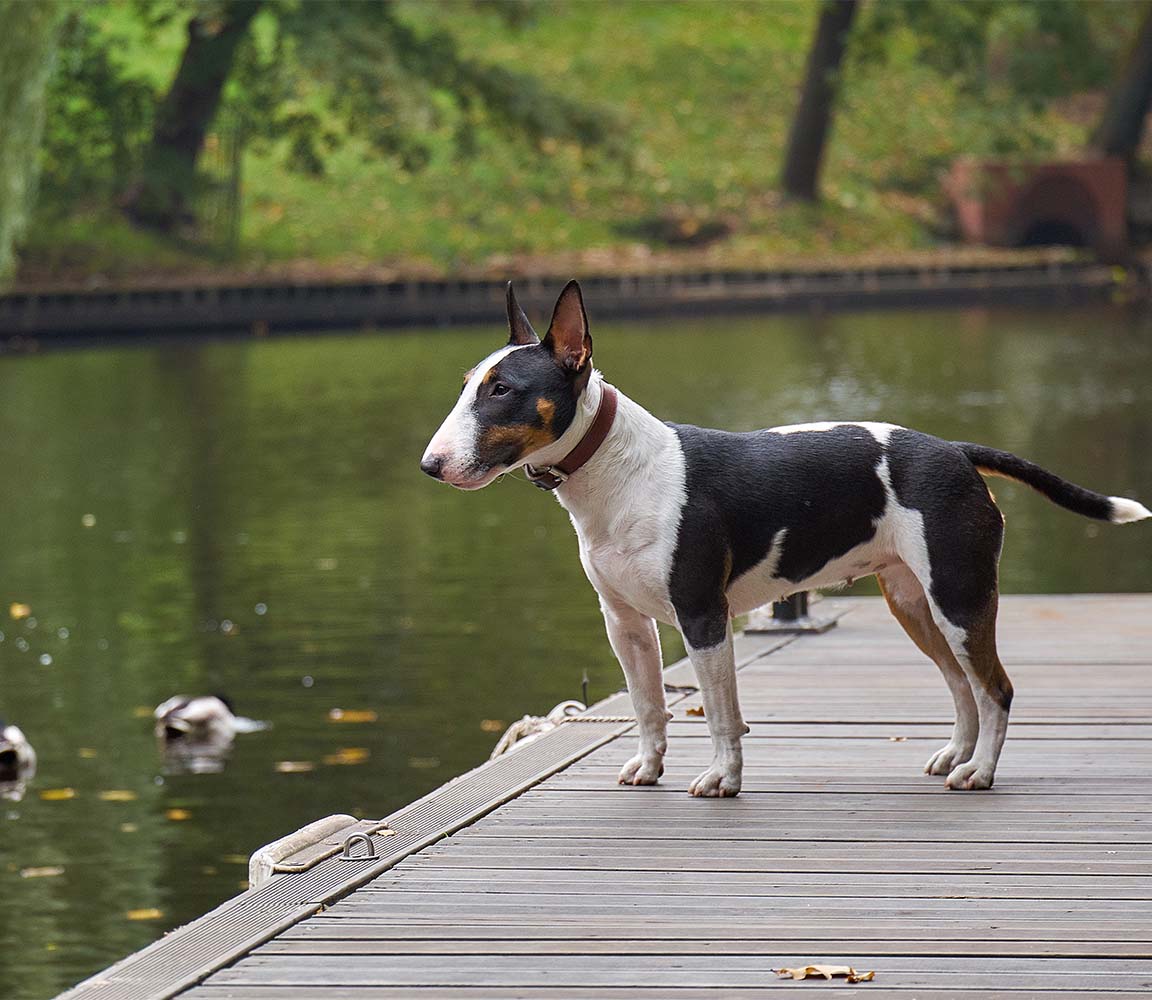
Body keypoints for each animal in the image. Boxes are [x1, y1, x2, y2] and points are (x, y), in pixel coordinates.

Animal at [421, 280, 1150, 797]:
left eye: (503, 390)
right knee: (961, 684)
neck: (616, 472)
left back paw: (980, 773)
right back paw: (956, 756)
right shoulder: (624, 622)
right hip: (915, 603)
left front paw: (722, 780)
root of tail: (955, 450)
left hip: (960, 595)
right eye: (467, 387)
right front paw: (648, 766)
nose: (431, 465)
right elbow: (648, 704)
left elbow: (720, 712)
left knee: (995, 688)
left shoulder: (703, 616)